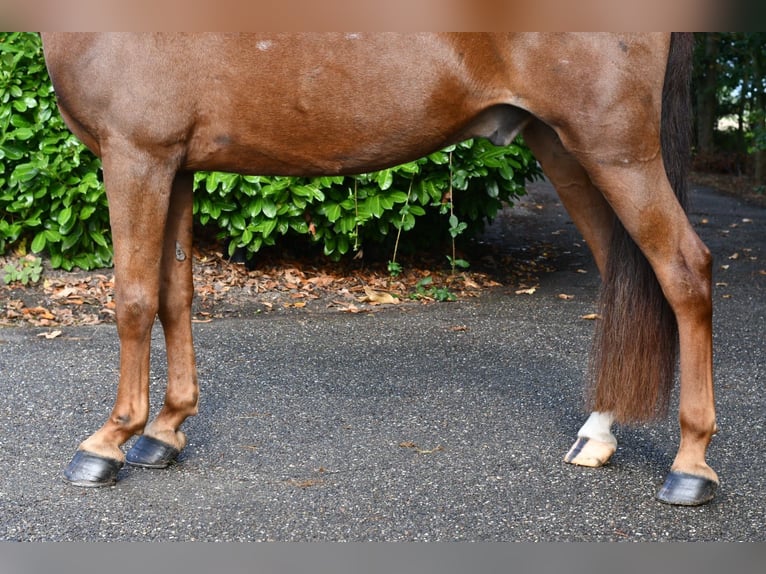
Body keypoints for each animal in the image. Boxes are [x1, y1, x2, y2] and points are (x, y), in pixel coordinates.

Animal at [42, 33, 716, 506]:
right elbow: (173, 294)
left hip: (615, 149)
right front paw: (166, 430)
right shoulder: (173, 163)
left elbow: (132, 299)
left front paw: (108, 442)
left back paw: (690, 467)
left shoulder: (136, 153)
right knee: (625, 275)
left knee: (686, 273)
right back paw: (599, 435)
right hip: (567, 148)